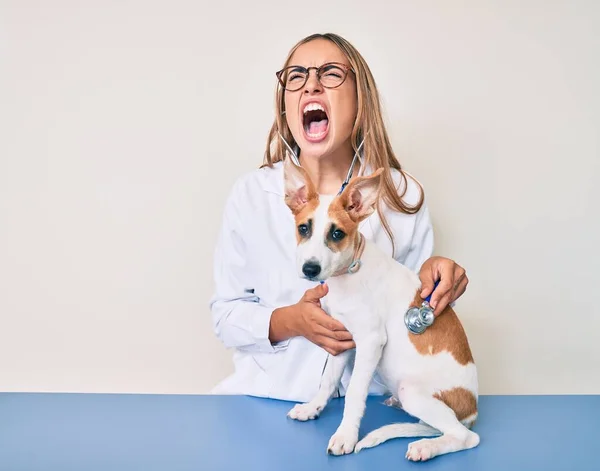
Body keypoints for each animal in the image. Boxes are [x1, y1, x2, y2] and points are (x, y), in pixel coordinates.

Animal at [282, 157, 478, 462]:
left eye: (337, 233)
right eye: (304, 228)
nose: (310, 269)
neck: (350, 272)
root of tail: (472, 411)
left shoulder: (371, 341)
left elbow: (354, 393)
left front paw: (345, 436)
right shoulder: (342, 339)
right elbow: (327, 381)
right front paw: (312, 408)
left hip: (413, 391)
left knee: (465, 437)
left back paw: (426, 447)